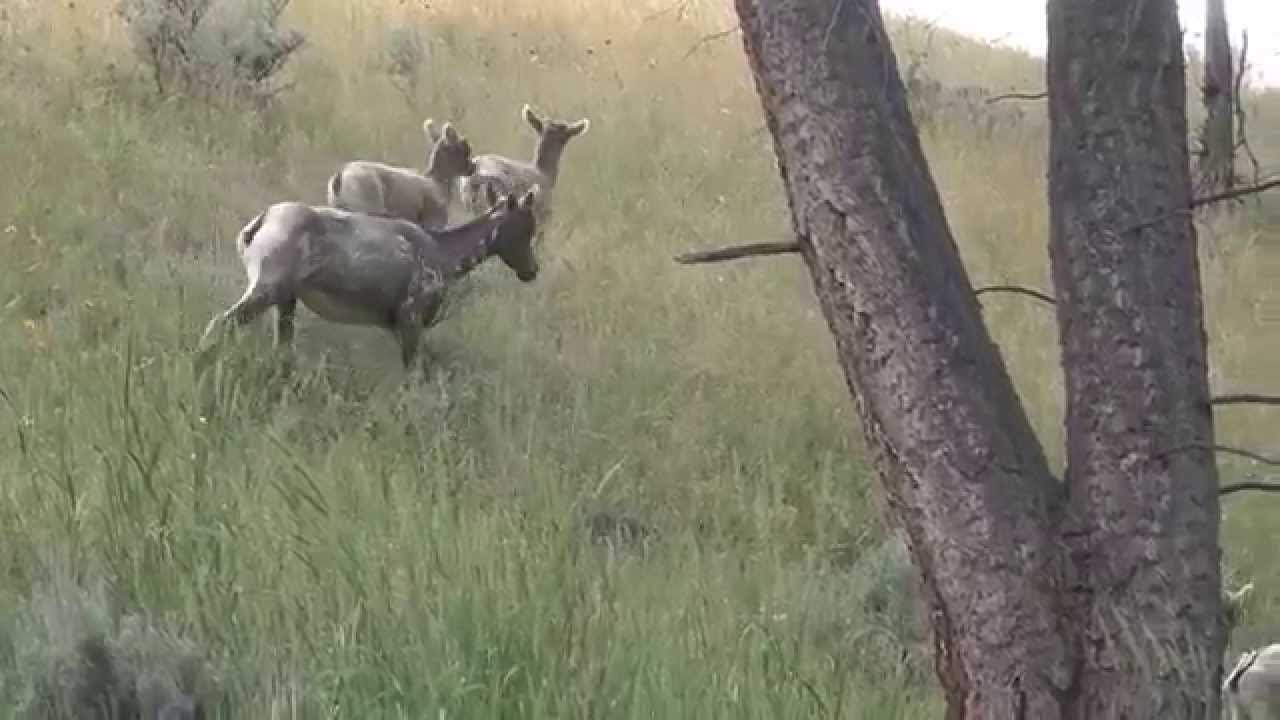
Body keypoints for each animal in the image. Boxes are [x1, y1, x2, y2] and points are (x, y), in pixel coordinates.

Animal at [199, 187, 540, 370]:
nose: (531, 270)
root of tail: (260, 223)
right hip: (265, 290)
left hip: (285, 300)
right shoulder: (410, 319)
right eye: (527, 226)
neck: (442, 252)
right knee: (219, 323)